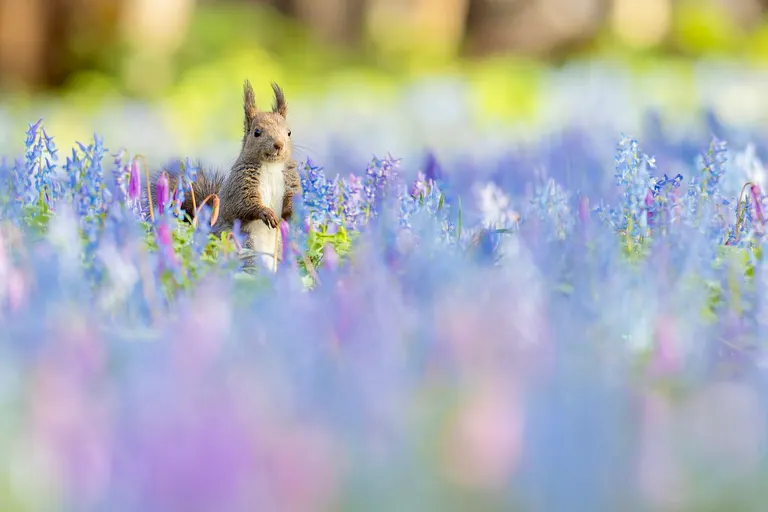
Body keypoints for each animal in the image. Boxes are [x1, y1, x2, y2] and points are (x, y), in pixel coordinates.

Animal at [145, 80, 302, 271]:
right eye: (257, 132)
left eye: (289, 132)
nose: (279, 145)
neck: (271, 166)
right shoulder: (241, 184)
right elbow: (245, 204)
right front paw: (266, 213)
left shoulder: (290, 180)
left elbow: (293, 197)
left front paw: (291, 214)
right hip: (244, 244)